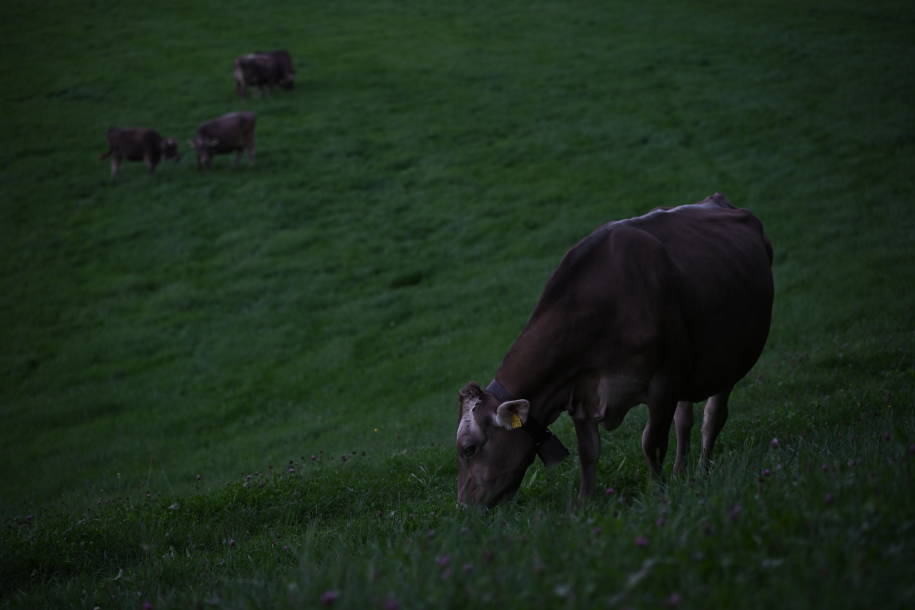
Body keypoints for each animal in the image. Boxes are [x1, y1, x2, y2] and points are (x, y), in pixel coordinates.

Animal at [456, 192, 772, 506]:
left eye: (468, 448)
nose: (463, 505)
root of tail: (716, 199)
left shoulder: (663, 382)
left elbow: (652, 443)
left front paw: (657, 490)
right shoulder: (579, 390)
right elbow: (588, 452)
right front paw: (584, 503)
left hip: (728, 360)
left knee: (713, 417)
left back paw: (703, 469)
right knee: (684, 420)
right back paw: (682, 471)